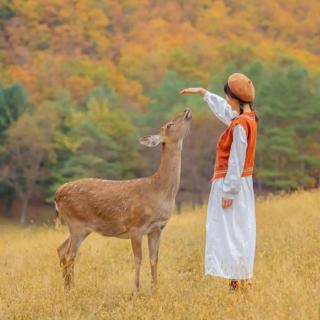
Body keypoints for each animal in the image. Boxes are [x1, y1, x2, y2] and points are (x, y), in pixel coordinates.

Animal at [54, 109, 192, 294]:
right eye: (169, 124)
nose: (186, 111)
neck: (159, 191)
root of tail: (57, 194)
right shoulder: (135, 226)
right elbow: (138, 259)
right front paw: (136, 291)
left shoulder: (157, 228)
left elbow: (154, 259)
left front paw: (154, 290)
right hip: (76, 222)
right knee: (70, 254)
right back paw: (71, 290)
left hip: (81, 227)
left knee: (61, 249)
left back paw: (68, 288)